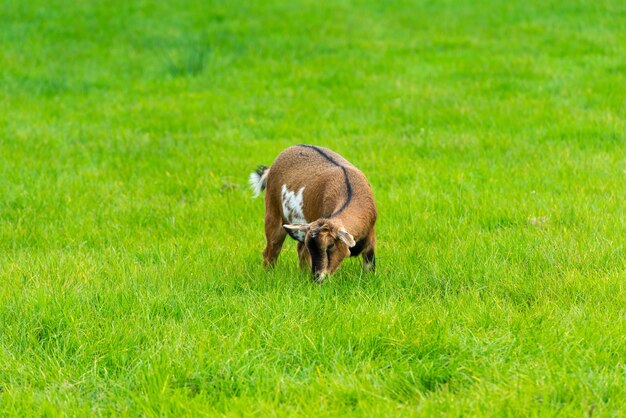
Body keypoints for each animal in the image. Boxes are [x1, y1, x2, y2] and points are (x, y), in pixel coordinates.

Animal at [250, 145, 378, 282]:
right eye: (312, 247)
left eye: (330, 245)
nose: (317, 278)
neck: (349, 191)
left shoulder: (370, 241)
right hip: (273, 214)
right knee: (271, 251)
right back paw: (268, 275)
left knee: (299, 250)